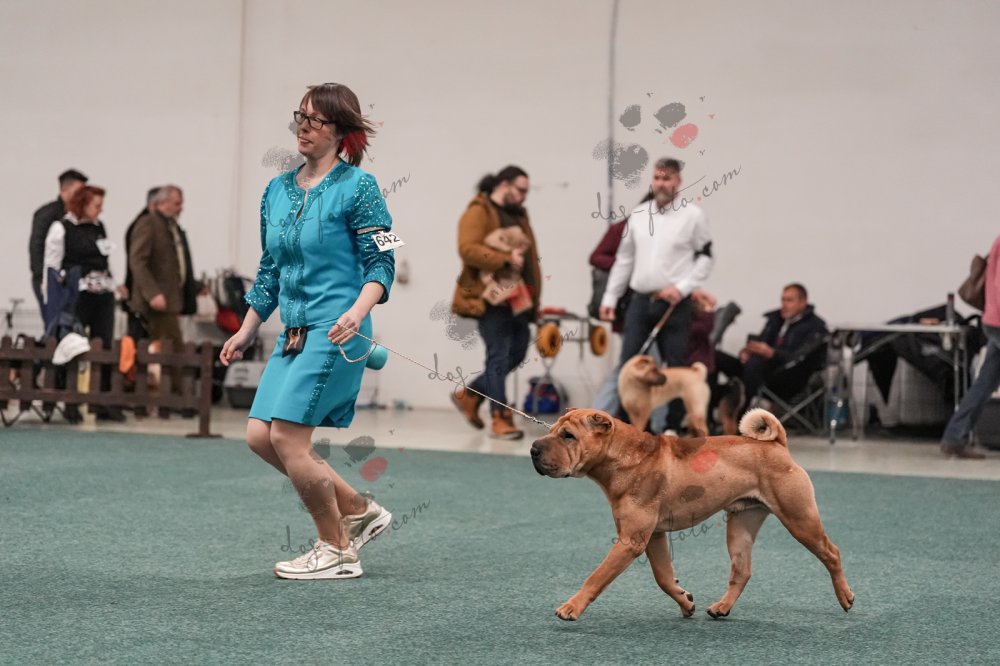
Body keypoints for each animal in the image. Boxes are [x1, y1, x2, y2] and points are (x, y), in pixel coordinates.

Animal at [530, 408, 854, 621]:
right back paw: (721, 607)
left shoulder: (630, 541)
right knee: (742, 571)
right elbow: (663, 576)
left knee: (832, 553)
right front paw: (685, 603)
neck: (621, 458)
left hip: (799, 519)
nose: (533, 448)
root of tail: (778, 444)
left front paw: (571, 607)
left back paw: (845, 597)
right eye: (552, 430)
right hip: (741, 526)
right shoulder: (653, 536)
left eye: (568, 436)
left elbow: (596, 576)